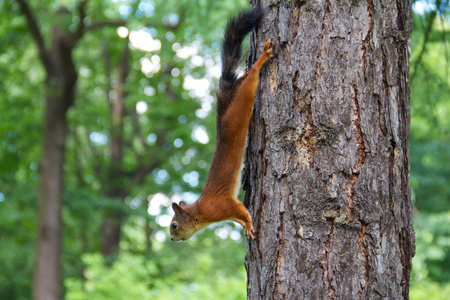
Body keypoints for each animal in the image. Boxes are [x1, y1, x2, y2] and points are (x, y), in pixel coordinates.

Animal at [171, 6, 272, 241]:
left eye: (174, 225)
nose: (171, 238)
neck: (200, 211)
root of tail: (223, 115)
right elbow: (237, 217)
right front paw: (243, 225)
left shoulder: (223, 205)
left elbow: (242, 211)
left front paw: (249, 225)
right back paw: (244, 72)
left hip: (243, 100)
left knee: (250, 82)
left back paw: (258, 63)